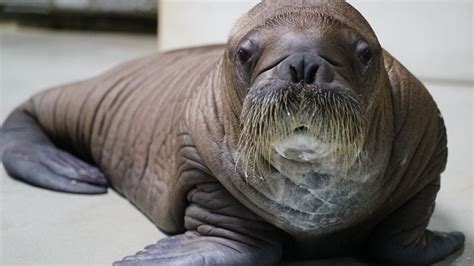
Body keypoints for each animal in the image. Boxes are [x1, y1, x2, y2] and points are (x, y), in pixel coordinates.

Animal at [0, 1, 466, 264]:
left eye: (365, 53)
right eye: (245, 53)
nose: (303, 64)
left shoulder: (429, 162)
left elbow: (401, 237)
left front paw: (450, 238)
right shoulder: (200, 163)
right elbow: (244, 243)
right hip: (83, 97)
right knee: (26, 112)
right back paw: (73, 171)